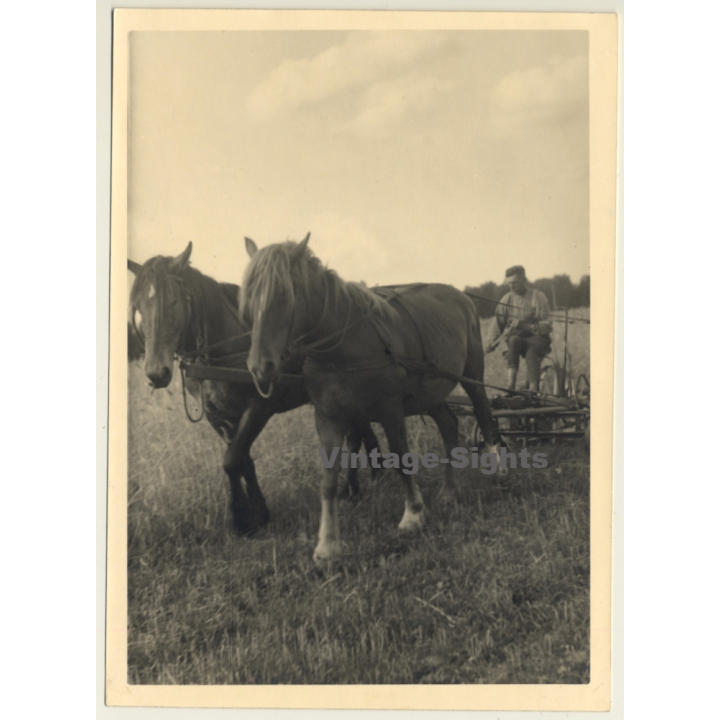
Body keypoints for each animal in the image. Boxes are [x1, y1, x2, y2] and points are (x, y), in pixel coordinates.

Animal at [128, 242, 385, 536]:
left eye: (173, 302)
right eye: (139, 307)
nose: (155, 373)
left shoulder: (259, 407)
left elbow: (231, 460)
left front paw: (242, 518)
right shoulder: (218, 416)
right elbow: (242, 459)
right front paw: (257, 513)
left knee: (355, 434)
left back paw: (353, 487)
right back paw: (374, 473)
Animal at [241, 233, 504, 562]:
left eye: (284, 295)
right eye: (248, 300)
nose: (259, 368)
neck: (343, 347)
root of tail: (462, 296)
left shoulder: (390, 410)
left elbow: (402, 458)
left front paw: (413, 514)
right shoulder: (328, 417)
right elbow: (328, 479)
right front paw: (327, 543)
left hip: (473, 376)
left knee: (483, 412)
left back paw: (496, 467)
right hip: (429, 394)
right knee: (448, 425)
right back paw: (449, 491)